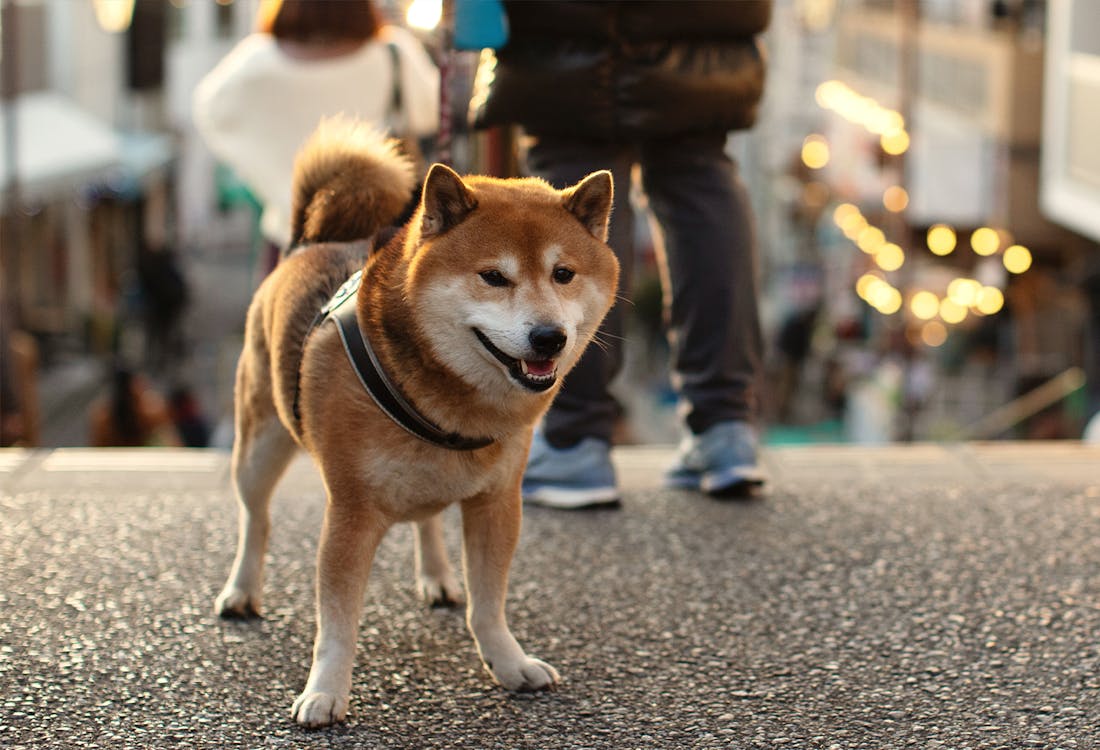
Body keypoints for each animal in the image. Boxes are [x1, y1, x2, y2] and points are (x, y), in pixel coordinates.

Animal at [216, 115, 620, 725]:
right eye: (493, 277)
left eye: (564, 273)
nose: (549, 337)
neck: (449, 407)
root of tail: (310, 243)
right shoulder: (351, 514)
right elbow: (337, 624)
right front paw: (325, 692)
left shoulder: (497, 502)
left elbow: (488, 604)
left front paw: (508, 663)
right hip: (259, 446)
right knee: (254, 518)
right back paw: (241, 591)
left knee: (426, 521)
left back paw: (438, 578)